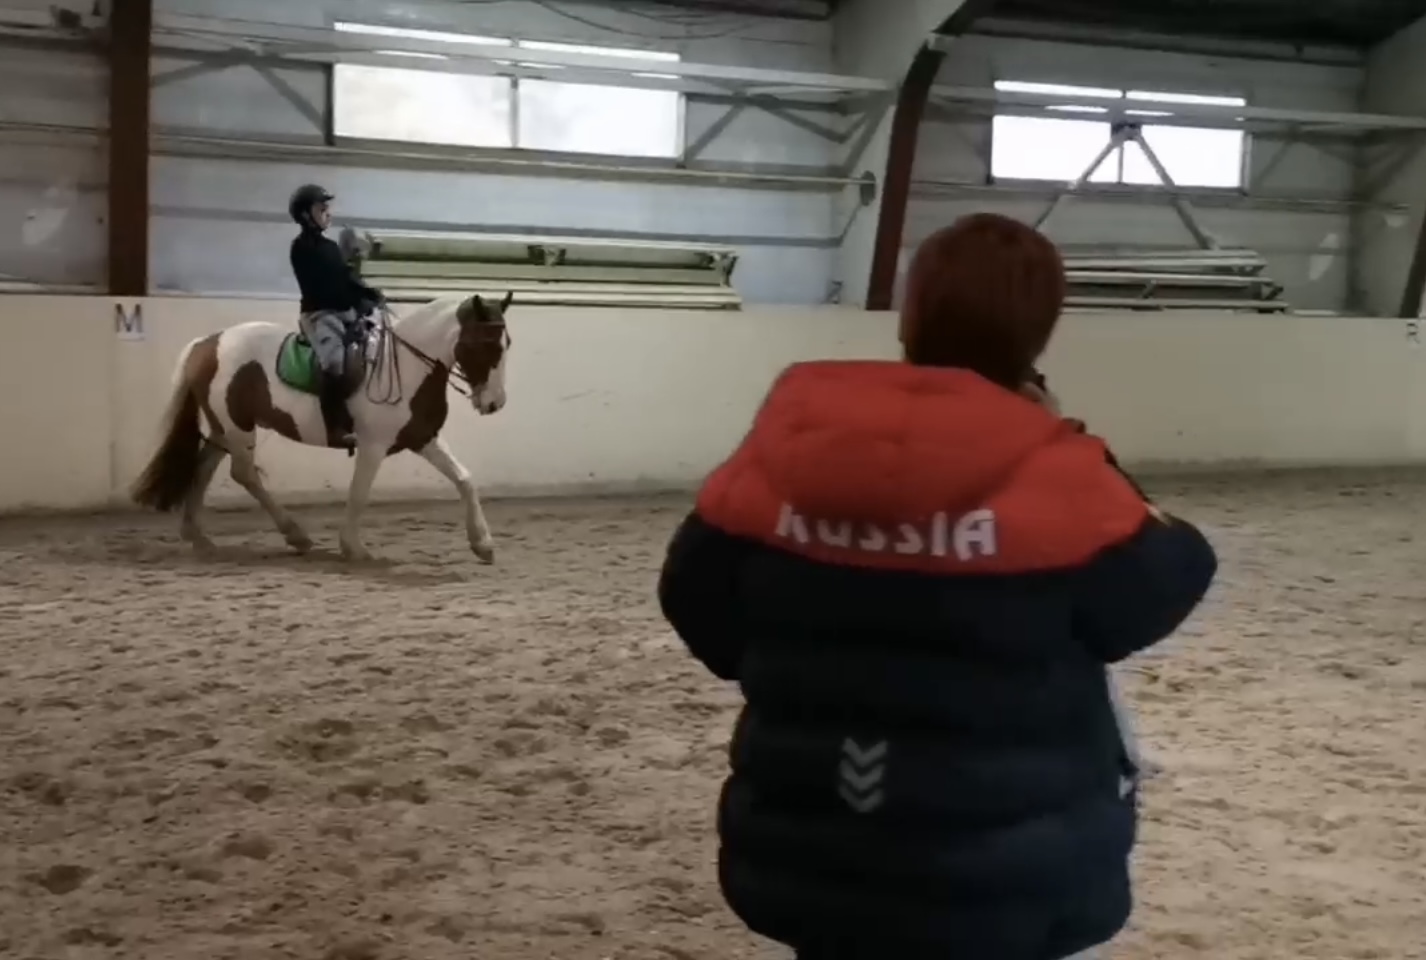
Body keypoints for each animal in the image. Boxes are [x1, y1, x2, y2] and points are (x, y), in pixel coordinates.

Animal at [129, 293, 513, 563]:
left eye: (506, 344)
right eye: (483, 344)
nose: (494, 403)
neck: (406, 367)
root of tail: (207, 343)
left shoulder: (422, 437)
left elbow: (464, 478)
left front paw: (483, 544)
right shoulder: (373, 446)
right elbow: (359, 493)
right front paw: (353, 548)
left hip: (225, 428)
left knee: (204, 466)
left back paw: (199, 537)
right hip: (238, 428)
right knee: (244, 473)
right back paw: (295, 534)